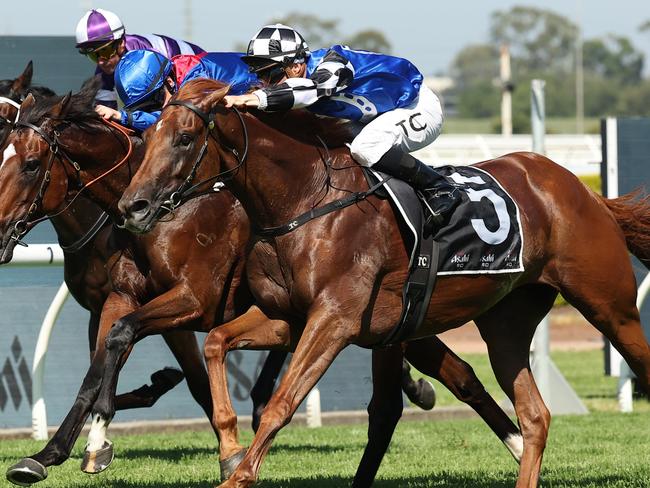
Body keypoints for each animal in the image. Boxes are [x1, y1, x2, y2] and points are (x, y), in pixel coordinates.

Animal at [0, 83, 516, 484]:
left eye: (30, 164)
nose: (135, 207)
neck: (173, 214)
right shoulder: (119, 297)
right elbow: (101, 364)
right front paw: (56, 451)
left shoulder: (190, 301)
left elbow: (139, 352)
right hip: (399, 320)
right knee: (459, 374)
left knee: (451, 378)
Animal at [119, 78, 648, 486]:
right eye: (148, 136)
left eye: (185, 138)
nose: (133, 206)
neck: (305, 201)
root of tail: (583, 191)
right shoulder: (288, 318)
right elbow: (216, 344)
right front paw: (229, 445)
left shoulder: (335, 320)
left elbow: (282, 402)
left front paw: (239, 473)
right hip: (507, 325)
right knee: (535, 416)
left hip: (611, 305)